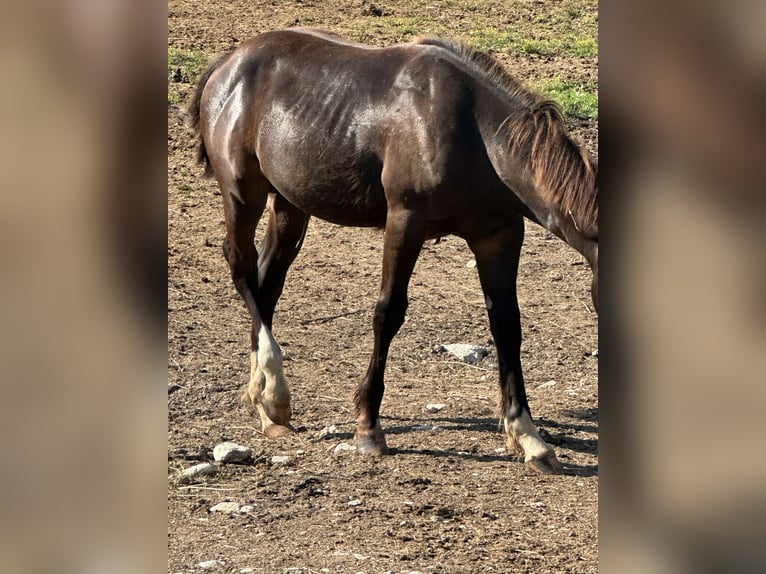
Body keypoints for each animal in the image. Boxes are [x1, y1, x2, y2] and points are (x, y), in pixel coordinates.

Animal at [187, 28, 598, 474]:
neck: (476, 135)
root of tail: (227, 62)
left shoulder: (499, 235)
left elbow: (507, 325)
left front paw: (528, 436)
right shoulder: (405, 222)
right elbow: (388, 313)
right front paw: (368, 428)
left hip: (289, 204)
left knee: (267, 283)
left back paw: (264, 401)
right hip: (243, 194)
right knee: (241, 267)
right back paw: (276, 393)